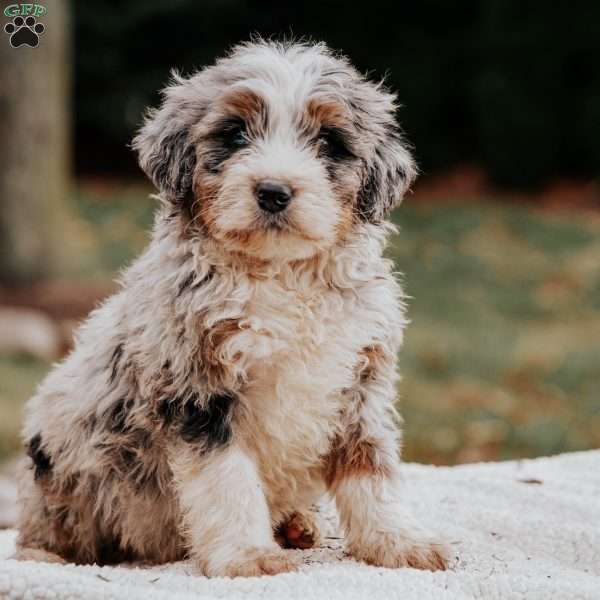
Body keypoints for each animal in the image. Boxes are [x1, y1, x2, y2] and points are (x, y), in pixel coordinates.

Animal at [15, 38, 450, 576]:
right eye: (236, 134)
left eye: (329, 142)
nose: (274, 192)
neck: (283, 276)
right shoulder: (197, 389)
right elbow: (227, 480)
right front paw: (248, 554)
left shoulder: (361, 380)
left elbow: (371, 468)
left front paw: (398, 541)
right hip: (59, 460)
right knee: (47, 526)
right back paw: (41, 554)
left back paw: (298, 525)